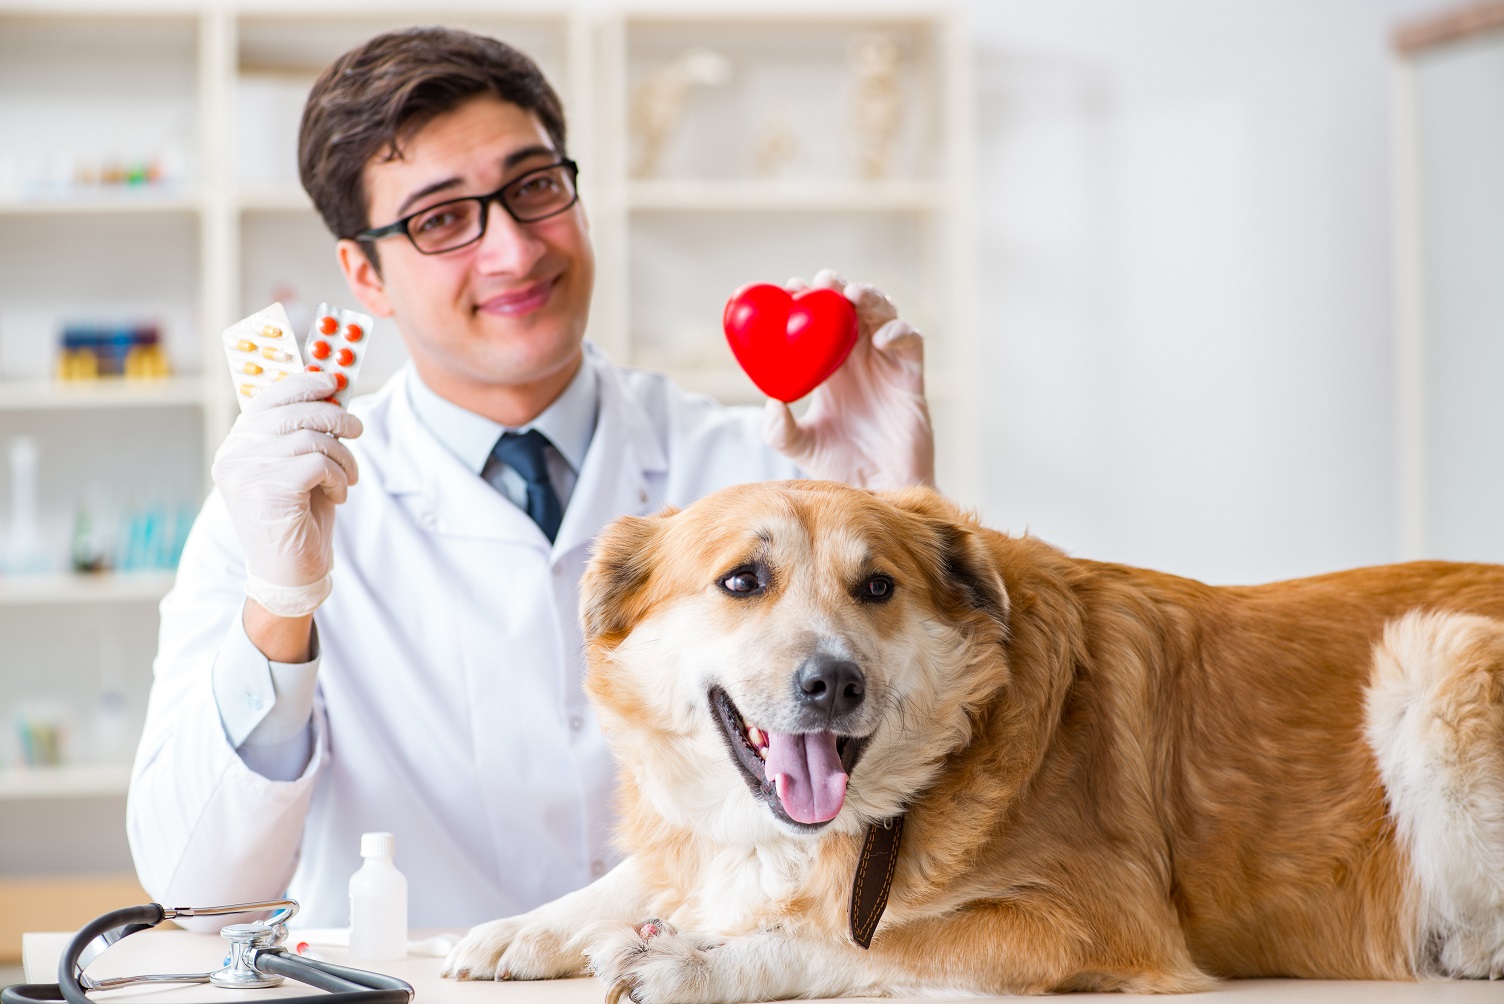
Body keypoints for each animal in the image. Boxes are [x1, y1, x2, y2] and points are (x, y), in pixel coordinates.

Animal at [442, 480, 1504, 997]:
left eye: (877, 586)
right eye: (742, 580)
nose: (833, 683)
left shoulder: (1089, 923)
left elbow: (861, 941)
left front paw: (703, 961)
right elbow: (656, 873)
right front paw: (522, 927)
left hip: (1434, 654)